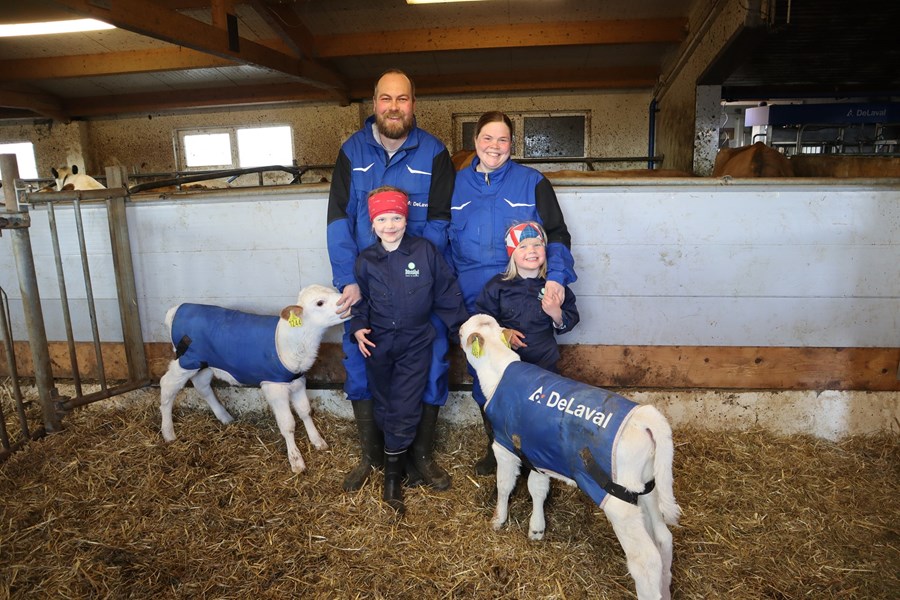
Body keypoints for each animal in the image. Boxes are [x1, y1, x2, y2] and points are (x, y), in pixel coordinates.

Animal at [160, 284, 346, 476]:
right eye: (319, 302)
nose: (349, 302)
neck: (291, 339)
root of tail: (176, 309)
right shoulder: (274, 386)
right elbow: (287, 423)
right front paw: (296, 460)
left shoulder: (298, 381)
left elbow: (305, 412)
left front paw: (318, 441)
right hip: (187, 360)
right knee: (167, 385)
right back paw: (168, 433)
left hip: (206, 363)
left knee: (201, 385)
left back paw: (224, 417)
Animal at [464, 314, 684, 600]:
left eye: (463, 330)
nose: (457, 327)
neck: (499, 371)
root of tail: (644, 416)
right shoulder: (538, 453)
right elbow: (537, 488)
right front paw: (537, 528)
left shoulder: (503, 446)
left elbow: (504, 485)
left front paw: (498, 519)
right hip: (646, 487)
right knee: (663, 537)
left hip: (617, 500)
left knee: (646, 560)